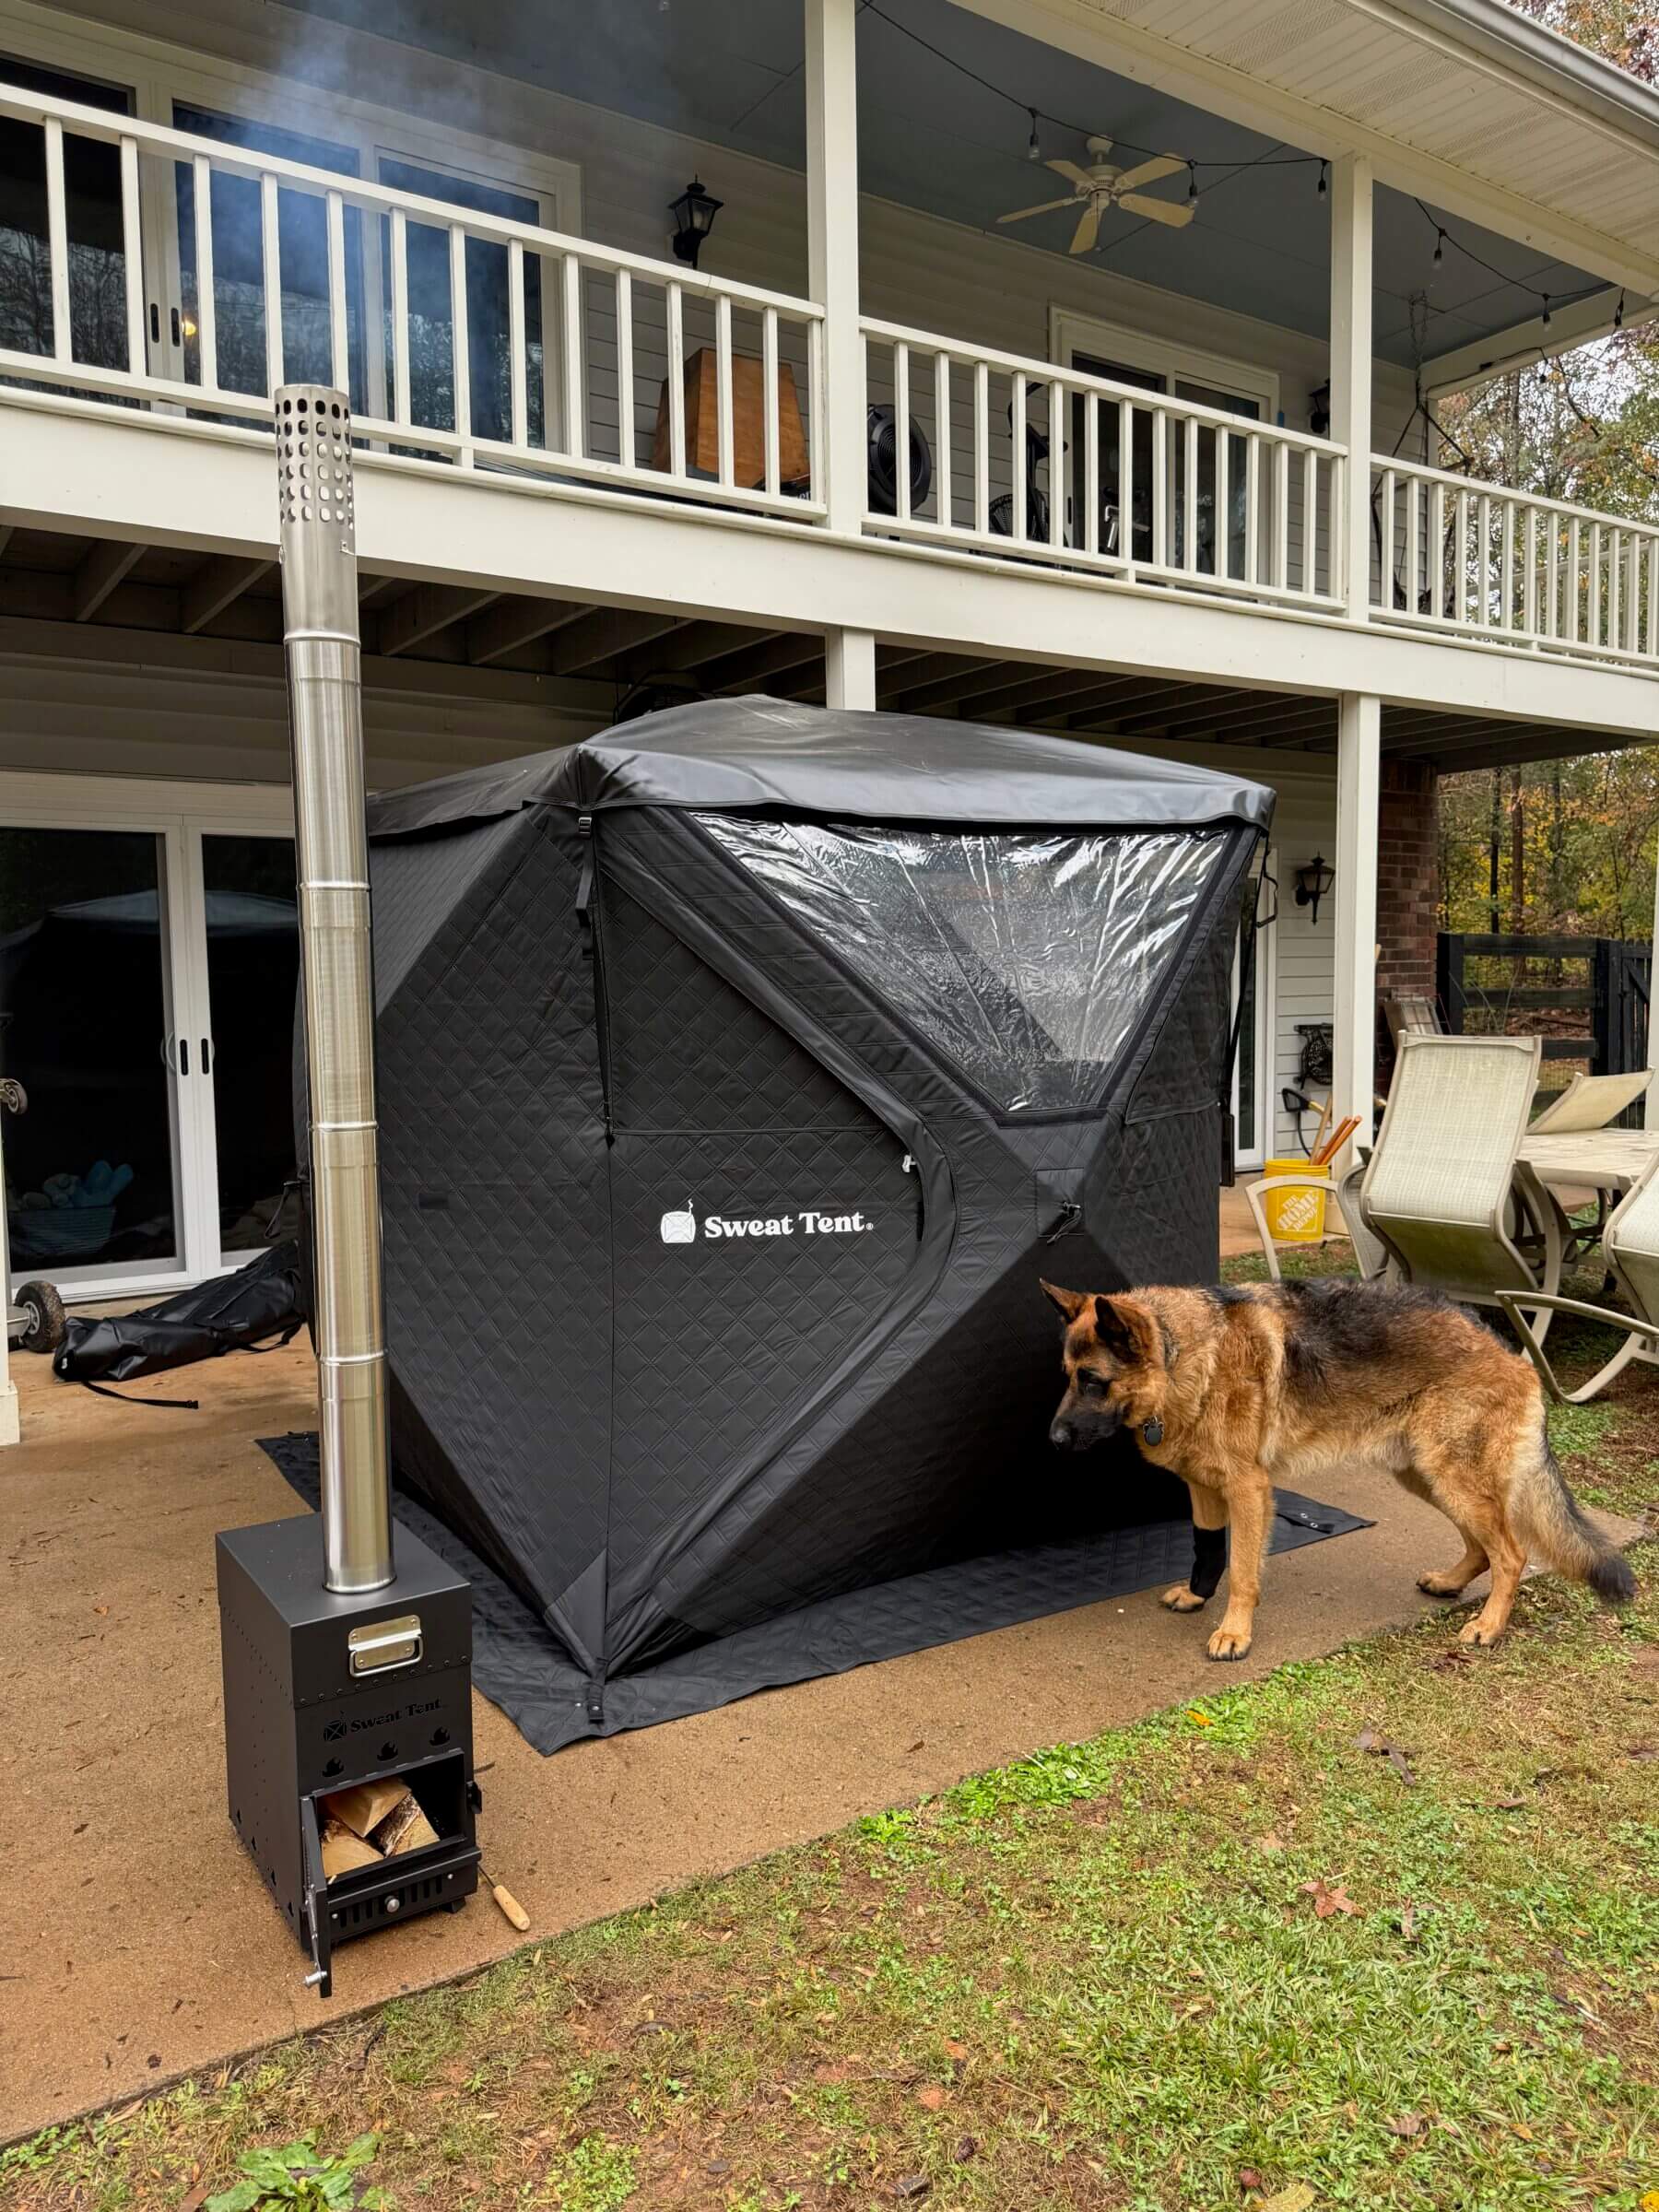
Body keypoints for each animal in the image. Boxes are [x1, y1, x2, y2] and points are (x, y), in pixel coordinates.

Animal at [1040, 1283, 1637, 1663]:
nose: (1053, 1440)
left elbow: (1244, 1571)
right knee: (1483, 1546)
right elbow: (1206, 1549)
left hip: (1451, 1477)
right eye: (1069, 1376)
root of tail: (1511, 1352)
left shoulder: (1248, 1491)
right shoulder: (1203, 1488)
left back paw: (1488, 1626)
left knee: (1511, 1553)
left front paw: (1234, 1633)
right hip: (1428, 1476)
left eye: (1093, 1381)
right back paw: (1450, 1583)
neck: (1184, 1353)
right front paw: (1195, 1596)